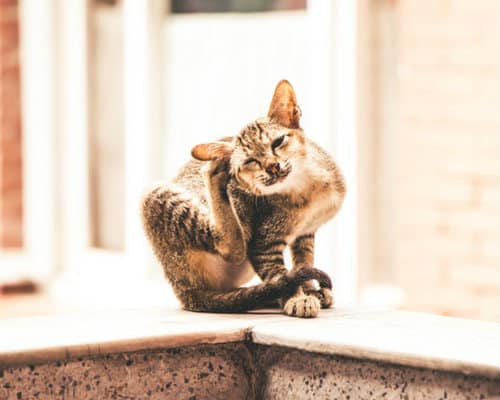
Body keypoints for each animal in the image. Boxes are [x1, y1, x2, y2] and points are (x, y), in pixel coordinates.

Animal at [141, 80, 344, 318]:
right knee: (233, 248)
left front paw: (309, 290)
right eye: (250, 161)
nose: (273, 166)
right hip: (158, 196)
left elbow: (302, 262)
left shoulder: (305, 233)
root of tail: (184, 292)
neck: (307, 189)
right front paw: (297, 297)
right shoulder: (263, 243)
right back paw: (215, 170)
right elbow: (277, 271)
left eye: (278, 142)